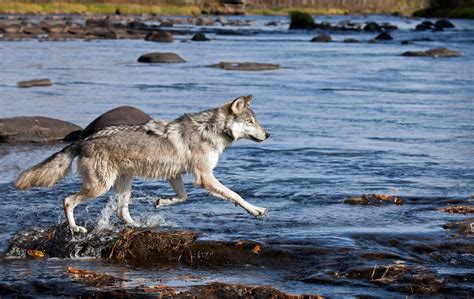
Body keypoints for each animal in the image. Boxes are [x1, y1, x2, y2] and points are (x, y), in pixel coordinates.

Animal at [15, 96, 270, 234]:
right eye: (250, 121)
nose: (268, 134)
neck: (209, 131)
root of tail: (83, 140)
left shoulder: (175, 174)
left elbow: (183, 197)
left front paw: (161, 202)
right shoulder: (204, 177)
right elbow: (235, 195)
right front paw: (255, 210)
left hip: (125, 183)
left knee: (120, 212)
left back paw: (137, 225)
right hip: (100, 187)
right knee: (68, 200)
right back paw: (76, 228)